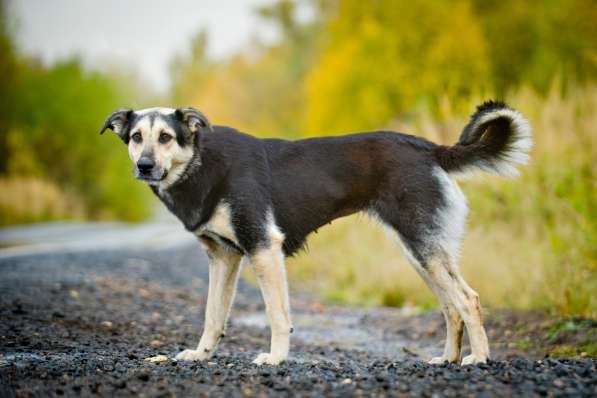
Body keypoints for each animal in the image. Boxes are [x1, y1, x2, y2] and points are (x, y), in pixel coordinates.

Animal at [99, 101, 532, 366]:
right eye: (136, 137)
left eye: (166, 137)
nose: (144, 166)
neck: (203, 164)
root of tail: (430, 148)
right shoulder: (223, 257)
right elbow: (212, 316)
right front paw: (200, 354)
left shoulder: (263, 248)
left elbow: (276, 315)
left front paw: (275, 358)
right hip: (419, 253)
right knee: (451, 307)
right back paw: (448, 359)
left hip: (424, 247)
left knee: (469, 300)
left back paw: (478, 359)